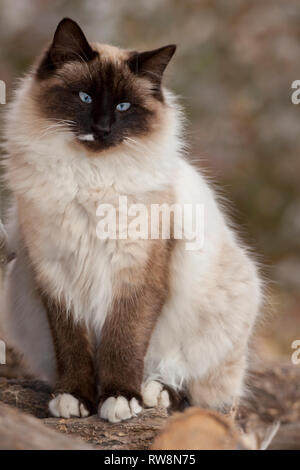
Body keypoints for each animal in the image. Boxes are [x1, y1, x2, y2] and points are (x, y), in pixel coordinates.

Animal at [1, 18, 262, 422]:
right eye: (85, 98)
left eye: (124, 107)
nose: (103, 129)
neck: (89, 178)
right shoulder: (57, 277)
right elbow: (72, 347)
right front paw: (74, 398)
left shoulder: (134, 277)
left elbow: (123, 343)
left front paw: (120, 399)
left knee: (188, 383)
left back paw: (152, 393)